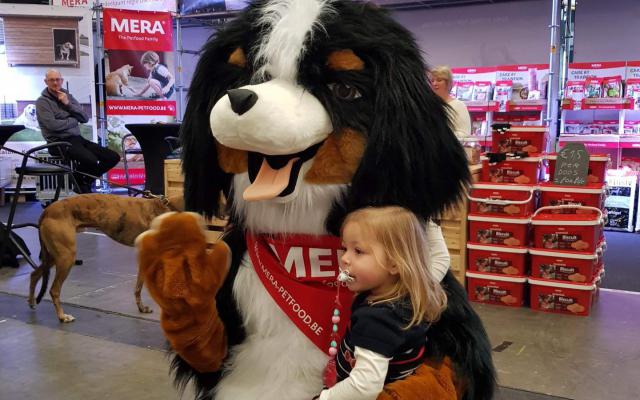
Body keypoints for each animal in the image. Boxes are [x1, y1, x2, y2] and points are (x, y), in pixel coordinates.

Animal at [27, 193, 182, 322]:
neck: (169, 208)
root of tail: (47, 211)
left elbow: (139, 286)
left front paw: (142, 308)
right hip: (66, 257)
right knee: (54, 289)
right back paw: (62, 316)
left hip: (55, 256)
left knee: (34, 274)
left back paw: (31, 302)